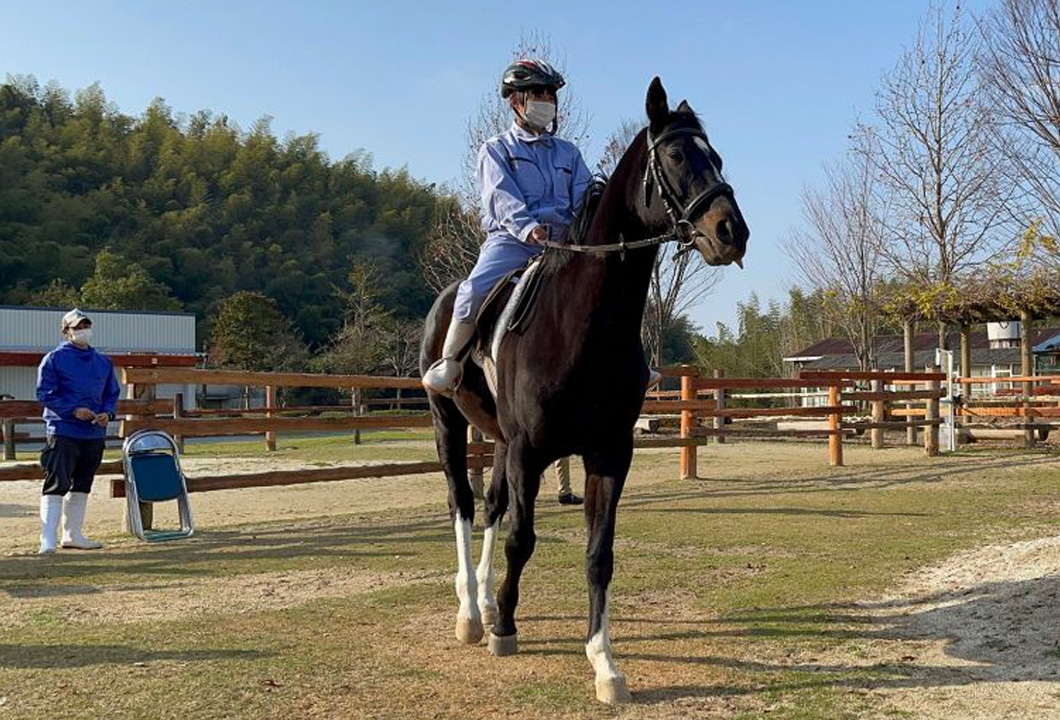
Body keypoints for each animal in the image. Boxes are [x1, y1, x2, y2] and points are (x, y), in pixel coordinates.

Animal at [417, 78, 750, 704]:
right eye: (676, 155)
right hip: (450, 424)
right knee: (464, 506)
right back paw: (472, 613)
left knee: (491, 506)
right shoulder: (530, 451)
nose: (731, 233)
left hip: (500, 440)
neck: (584, 325)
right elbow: (523, 539)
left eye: (716, 158)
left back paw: (484, 595)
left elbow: (599, 556)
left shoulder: (608, 454)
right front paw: (504, 628)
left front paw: (604, 663)